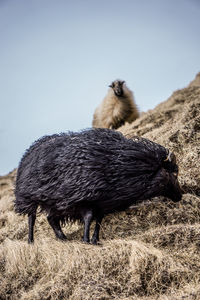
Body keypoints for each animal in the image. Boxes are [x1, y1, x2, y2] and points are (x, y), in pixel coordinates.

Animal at [14, 128, 182, 244]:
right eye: (173, 174)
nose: (180, 196)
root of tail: (28, 153)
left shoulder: (103, 203)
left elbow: (99, 221)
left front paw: (95, 240)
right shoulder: (85, 198)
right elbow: (88, 218)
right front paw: (86, 240)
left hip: (54, 201)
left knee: (51, 218)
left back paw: (63, 238)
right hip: (29, 196)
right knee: (31, 217)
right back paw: (31, 240)